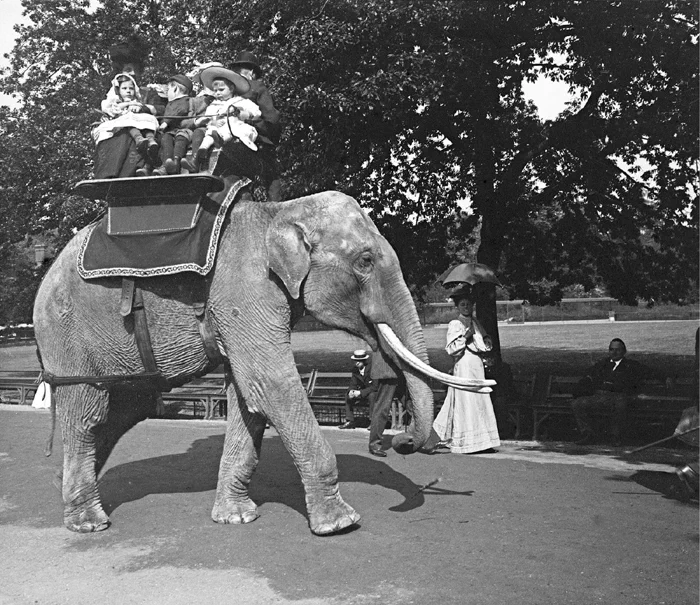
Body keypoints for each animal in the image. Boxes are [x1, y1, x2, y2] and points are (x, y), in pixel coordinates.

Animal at [32, 178, 492, 532]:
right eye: (364, 260)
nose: (402, 441)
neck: (279, 212)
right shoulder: (244, 290)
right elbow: (270, 383)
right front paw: (341, 524)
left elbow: (248, 396)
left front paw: (236, 518)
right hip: (66, 333)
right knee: (87, 411)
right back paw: (88, 522)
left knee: (122, 410)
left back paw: (65, 488)